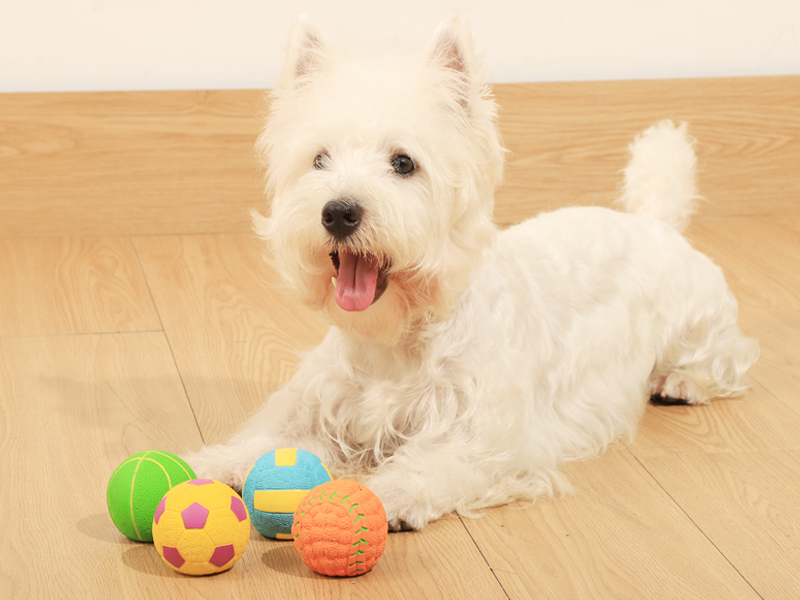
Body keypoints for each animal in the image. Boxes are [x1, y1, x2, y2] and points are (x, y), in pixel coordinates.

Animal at [187, 16, 758, 531]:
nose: (339, 212)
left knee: (727, 357)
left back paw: (679, 382)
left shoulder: (488, 434)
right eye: (319, 159)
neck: (399, 337)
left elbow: (437, 463)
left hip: (698, 322)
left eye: (403, 162)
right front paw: (213, 462)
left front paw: (387, 493)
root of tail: (652, 221)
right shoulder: (319, 402)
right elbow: (268, 438)